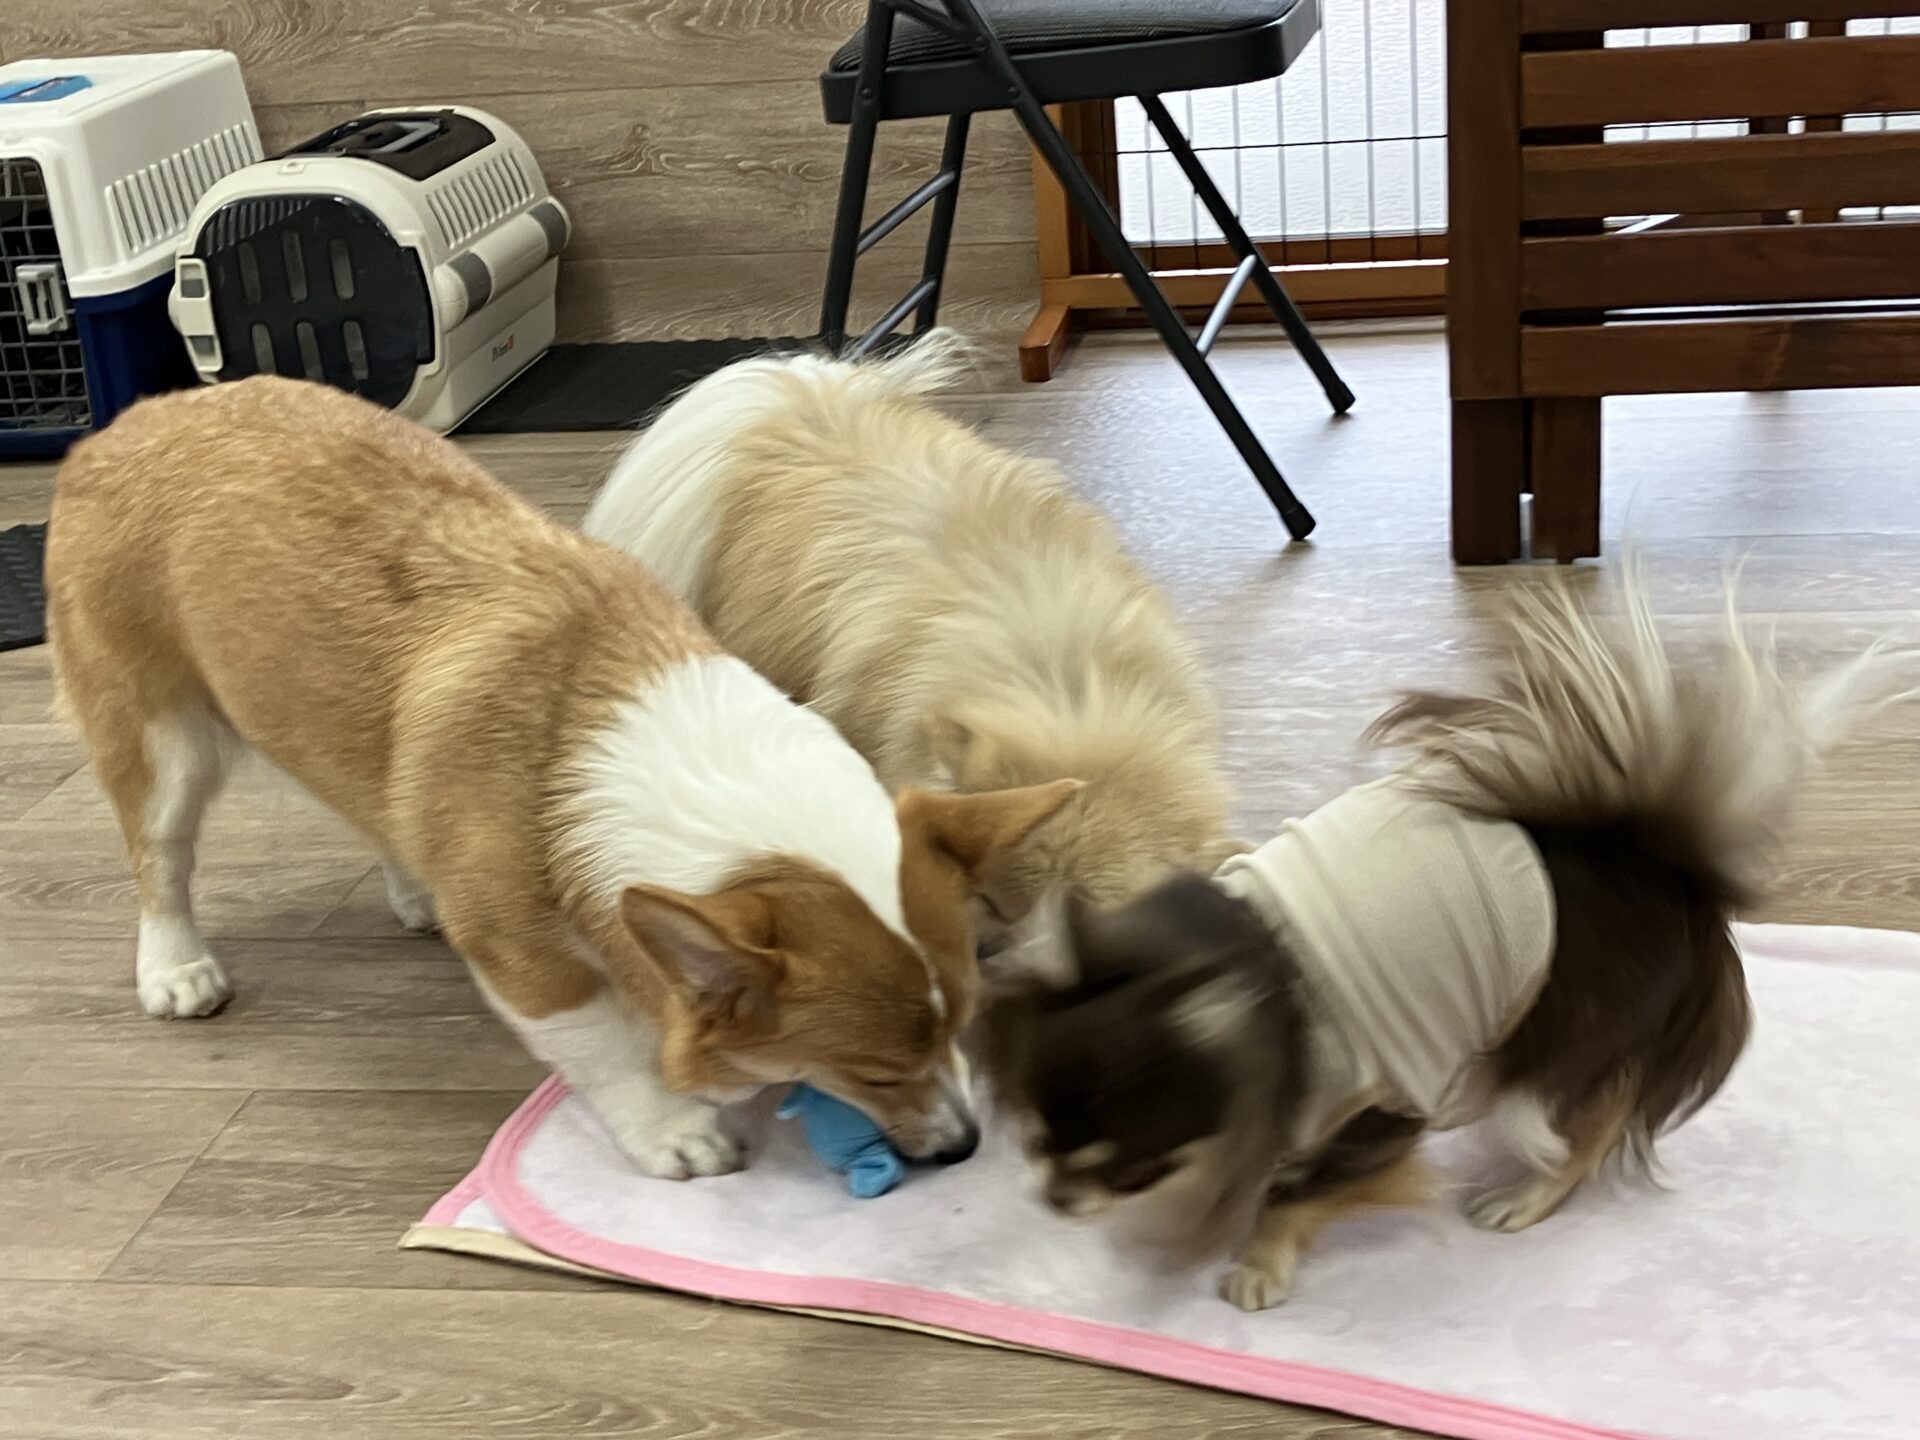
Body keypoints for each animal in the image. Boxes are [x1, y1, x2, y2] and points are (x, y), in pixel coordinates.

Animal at [45, 377, 1080, 1180]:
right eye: (873, 1073)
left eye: (963, 1026)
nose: (963, 1149)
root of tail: (125, 421)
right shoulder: (532, 965)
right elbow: (606, 1047)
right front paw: (674, 1133)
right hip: (160, 739)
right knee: (160, 856)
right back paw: (175, 967)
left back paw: (412, 890)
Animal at [987, 570, 1903, 1308]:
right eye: (1036, 1136)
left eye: (1122, 1165)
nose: (1050, 1200)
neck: (1249, 967)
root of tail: (1668, 869)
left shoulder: (1382, 1110)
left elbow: (1293, 1195)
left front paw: (1256, 1263)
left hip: (1550, 1053)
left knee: (1592, 1121)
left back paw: (1526, 1197)